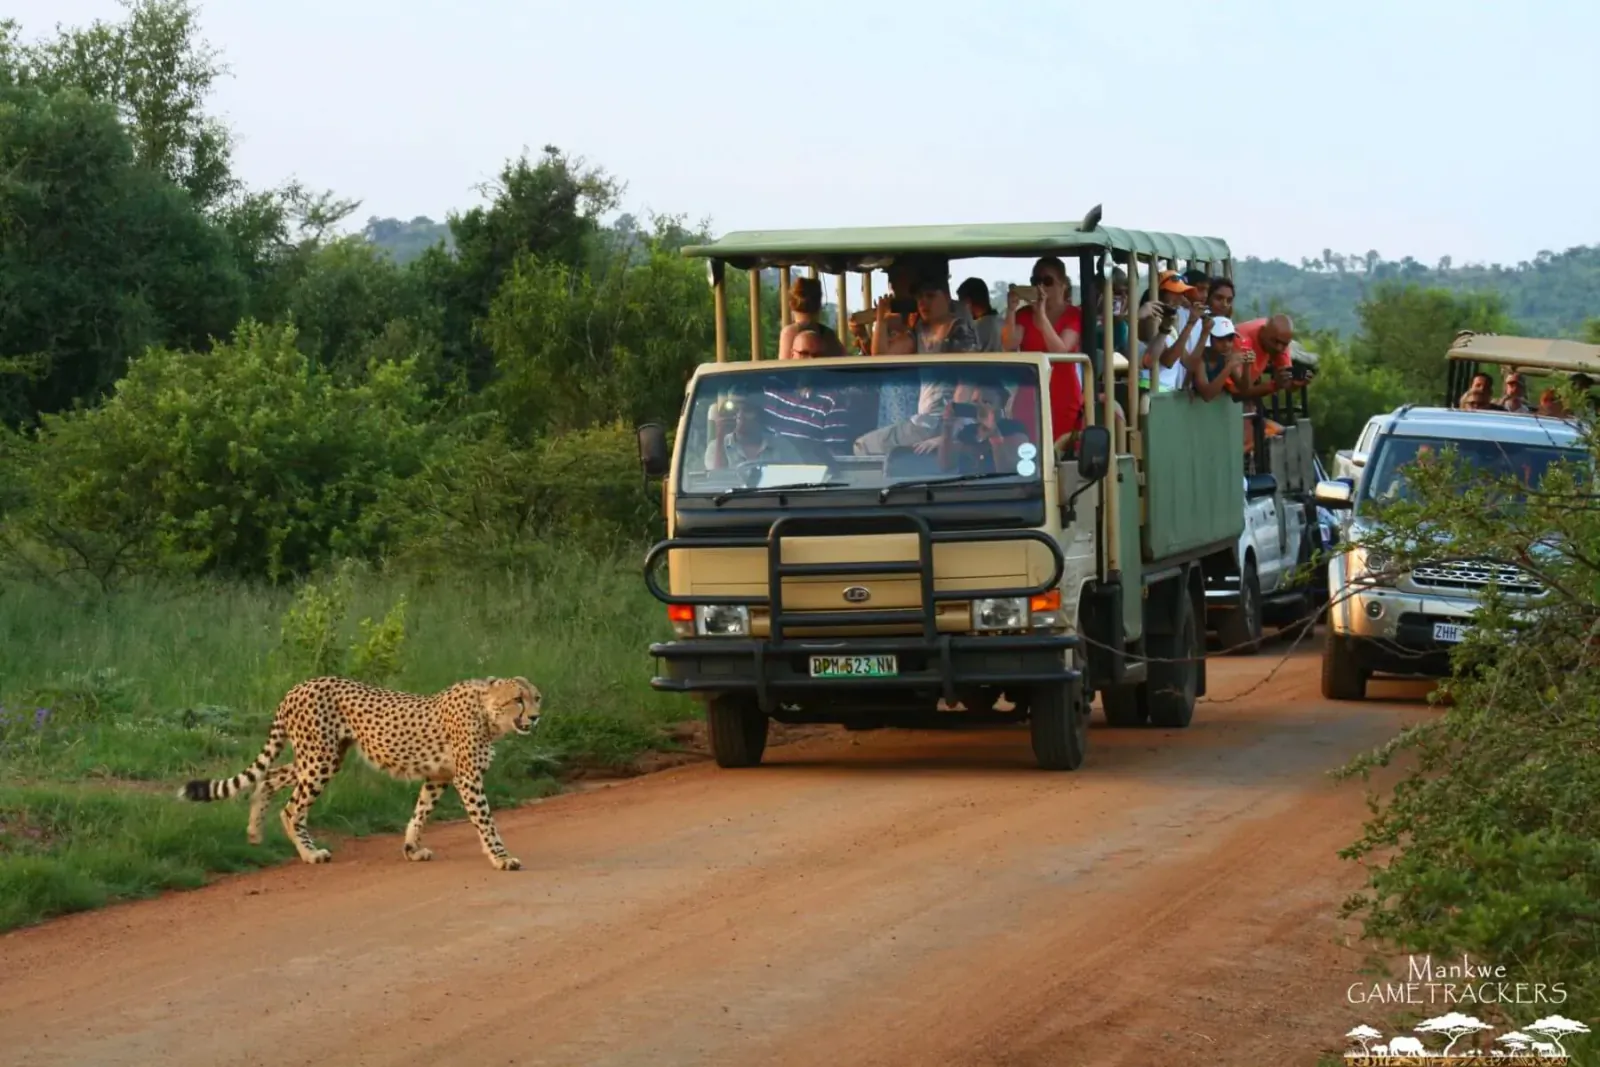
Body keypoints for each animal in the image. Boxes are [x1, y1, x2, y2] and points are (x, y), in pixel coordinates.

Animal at [178, 675, 541, 869]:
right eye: (517, 699)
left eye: (536, 698)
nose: (536, 717)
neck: (488, 713)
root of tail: (299, 686)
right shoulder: (467, 778)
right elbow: (486, 823)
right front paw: (502, 858)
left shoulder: (439, 777)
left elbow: (420, 812)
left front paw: (411, 848)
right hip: (319, 760)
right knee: (292, 808)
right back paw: (310, 853)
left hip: (319, 757)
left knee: (270, 777)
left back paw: (255, 831)